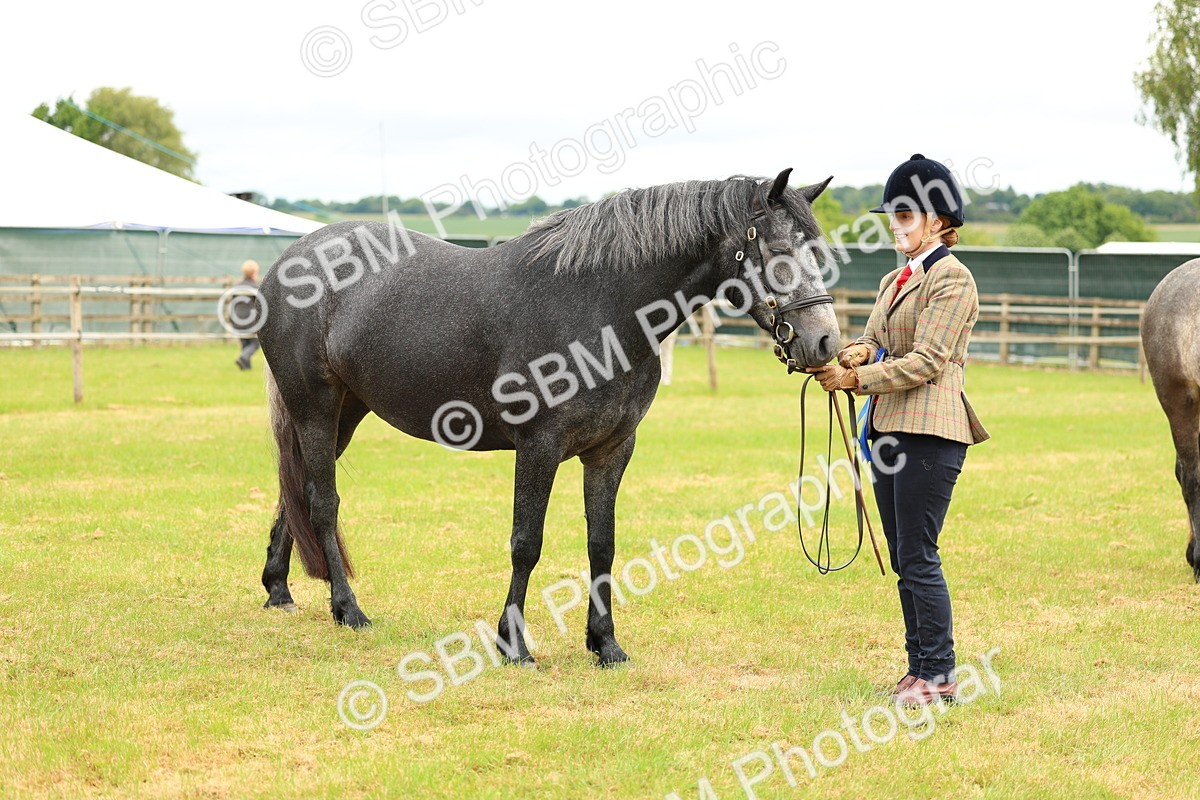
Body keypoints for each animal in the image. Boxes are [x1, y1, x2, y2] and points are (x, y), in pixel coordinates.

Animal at [254, 168, 843, 665]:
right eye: (779, 250)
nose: (825, 342)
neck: (601, 309)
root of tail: (289, 264)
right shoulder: (539, 446)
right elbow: (526, 543)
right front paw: (512, 644)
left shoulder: (611, 450)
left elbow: (602, 544)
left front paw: (605, 644)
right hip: (315, 407)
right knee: (322, 501)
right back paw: (347, 609)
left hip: (346, 413)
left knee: (296, 489)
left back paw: (279, 588)